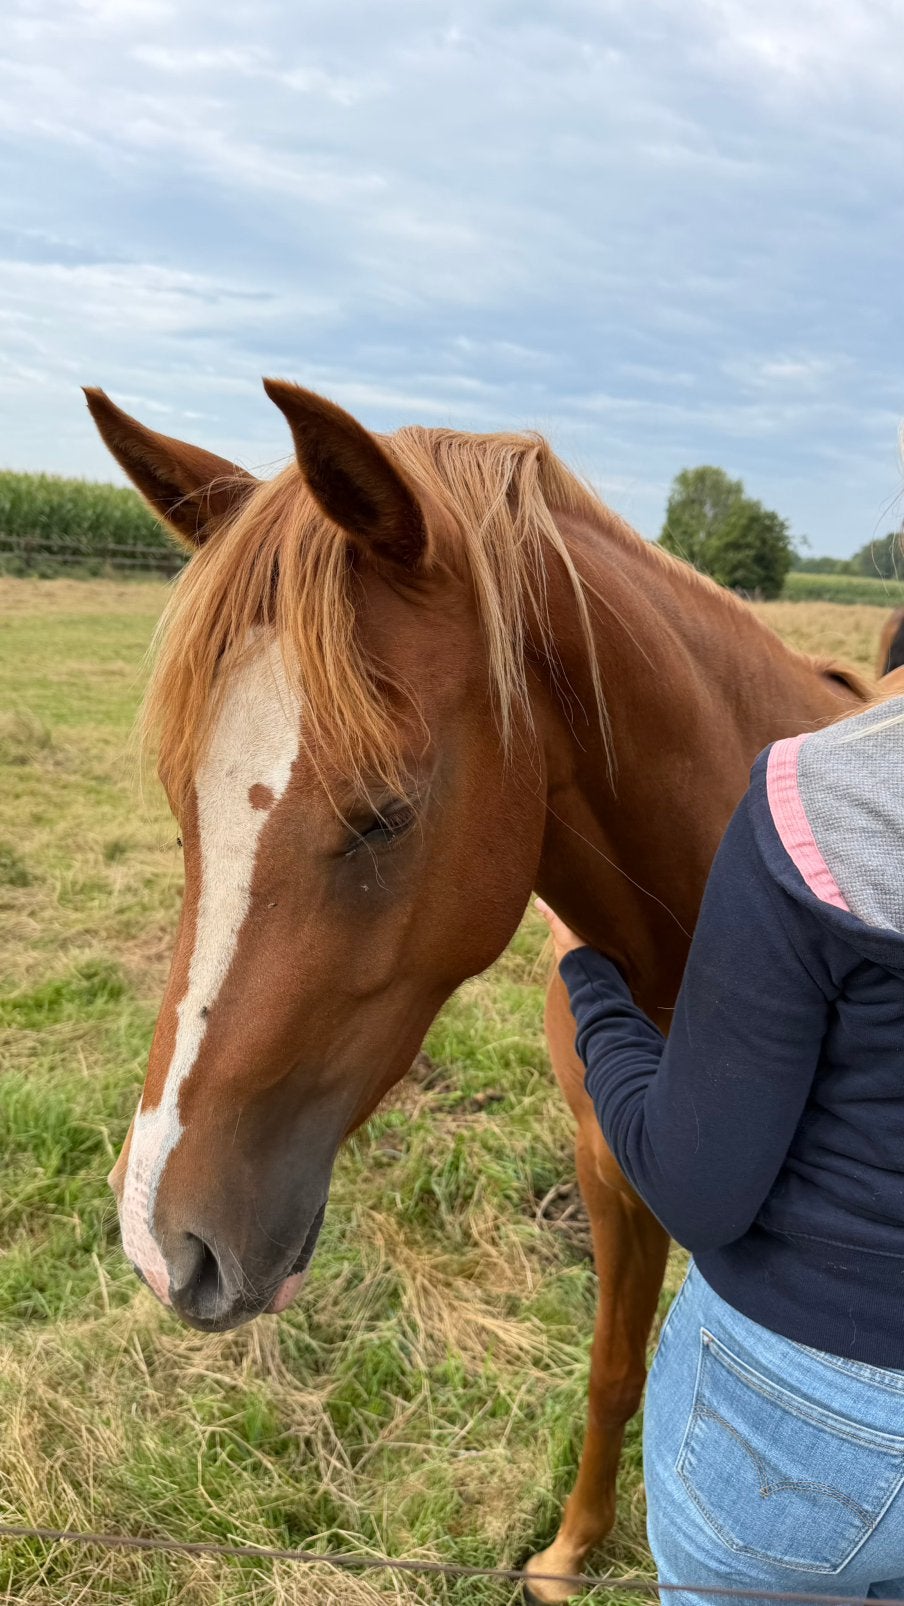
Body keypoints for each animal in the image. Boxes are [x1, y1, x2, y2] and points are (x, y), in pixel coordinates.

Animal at [85, 381, 870, 1604]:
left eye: (384, 812)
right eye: (181, 799)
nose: (161, 1244)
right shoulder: (609, 1172)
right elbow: (612, 1370)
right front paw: (569, 1549)